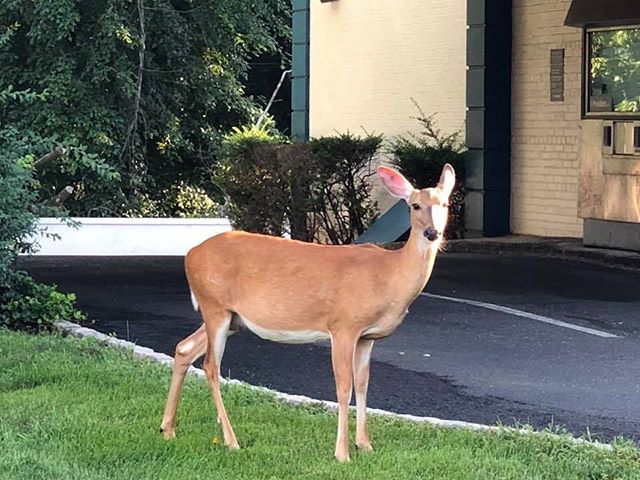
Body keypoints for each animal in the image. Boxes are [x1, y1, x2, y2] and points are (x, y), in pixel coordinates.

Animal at [159, 164, 456, 462]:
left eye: (445, 203)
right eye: (415, 205)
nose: (432, 233)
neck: (389, 275)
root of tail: (190, 255)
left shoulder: (367, 336)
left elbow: (363, 384)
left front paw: (365, 444)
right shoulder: (343, 325)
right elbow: (344, 386)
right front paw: (342, 453)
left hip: (232, 319)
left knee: (184, 348)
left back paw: (167, 429)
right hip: (215, 305)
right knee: (211, 365)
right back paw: (231, 440)